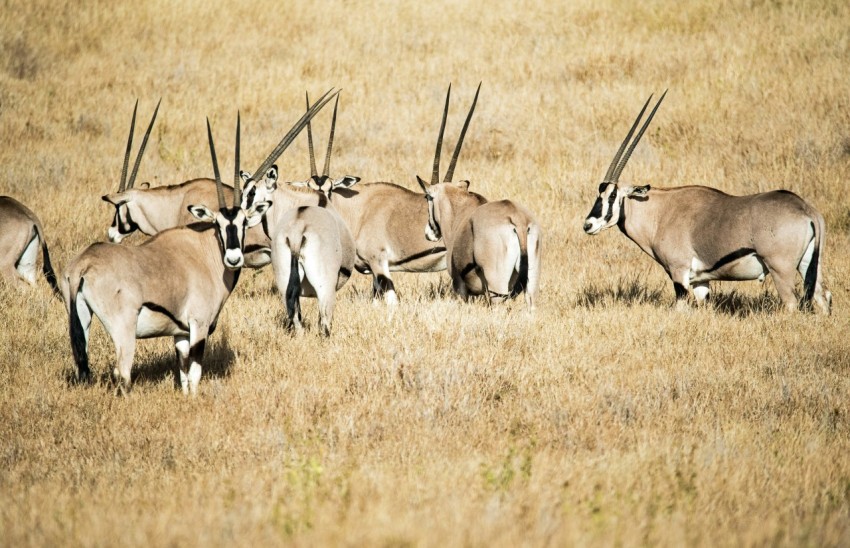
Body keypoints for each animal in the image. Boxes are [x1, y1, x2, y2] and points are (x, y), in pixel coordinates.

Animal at [416, 85, 541, 309]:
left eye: (427, 197)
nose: (429, 232)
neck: (459, 213)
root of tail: (517, 221)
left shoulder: (461, 289)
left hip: (497, 287)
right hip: (531, 287)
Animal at [582, 91, 831, 314]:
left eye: (612, 195)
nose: (588, 225)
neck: (660, 213)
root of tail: (806, 210)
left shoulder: (679, 273)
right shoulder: (701, 281)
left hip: (781, 269)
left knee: (792, 304)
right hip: (808, 264)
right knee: (823, 296)